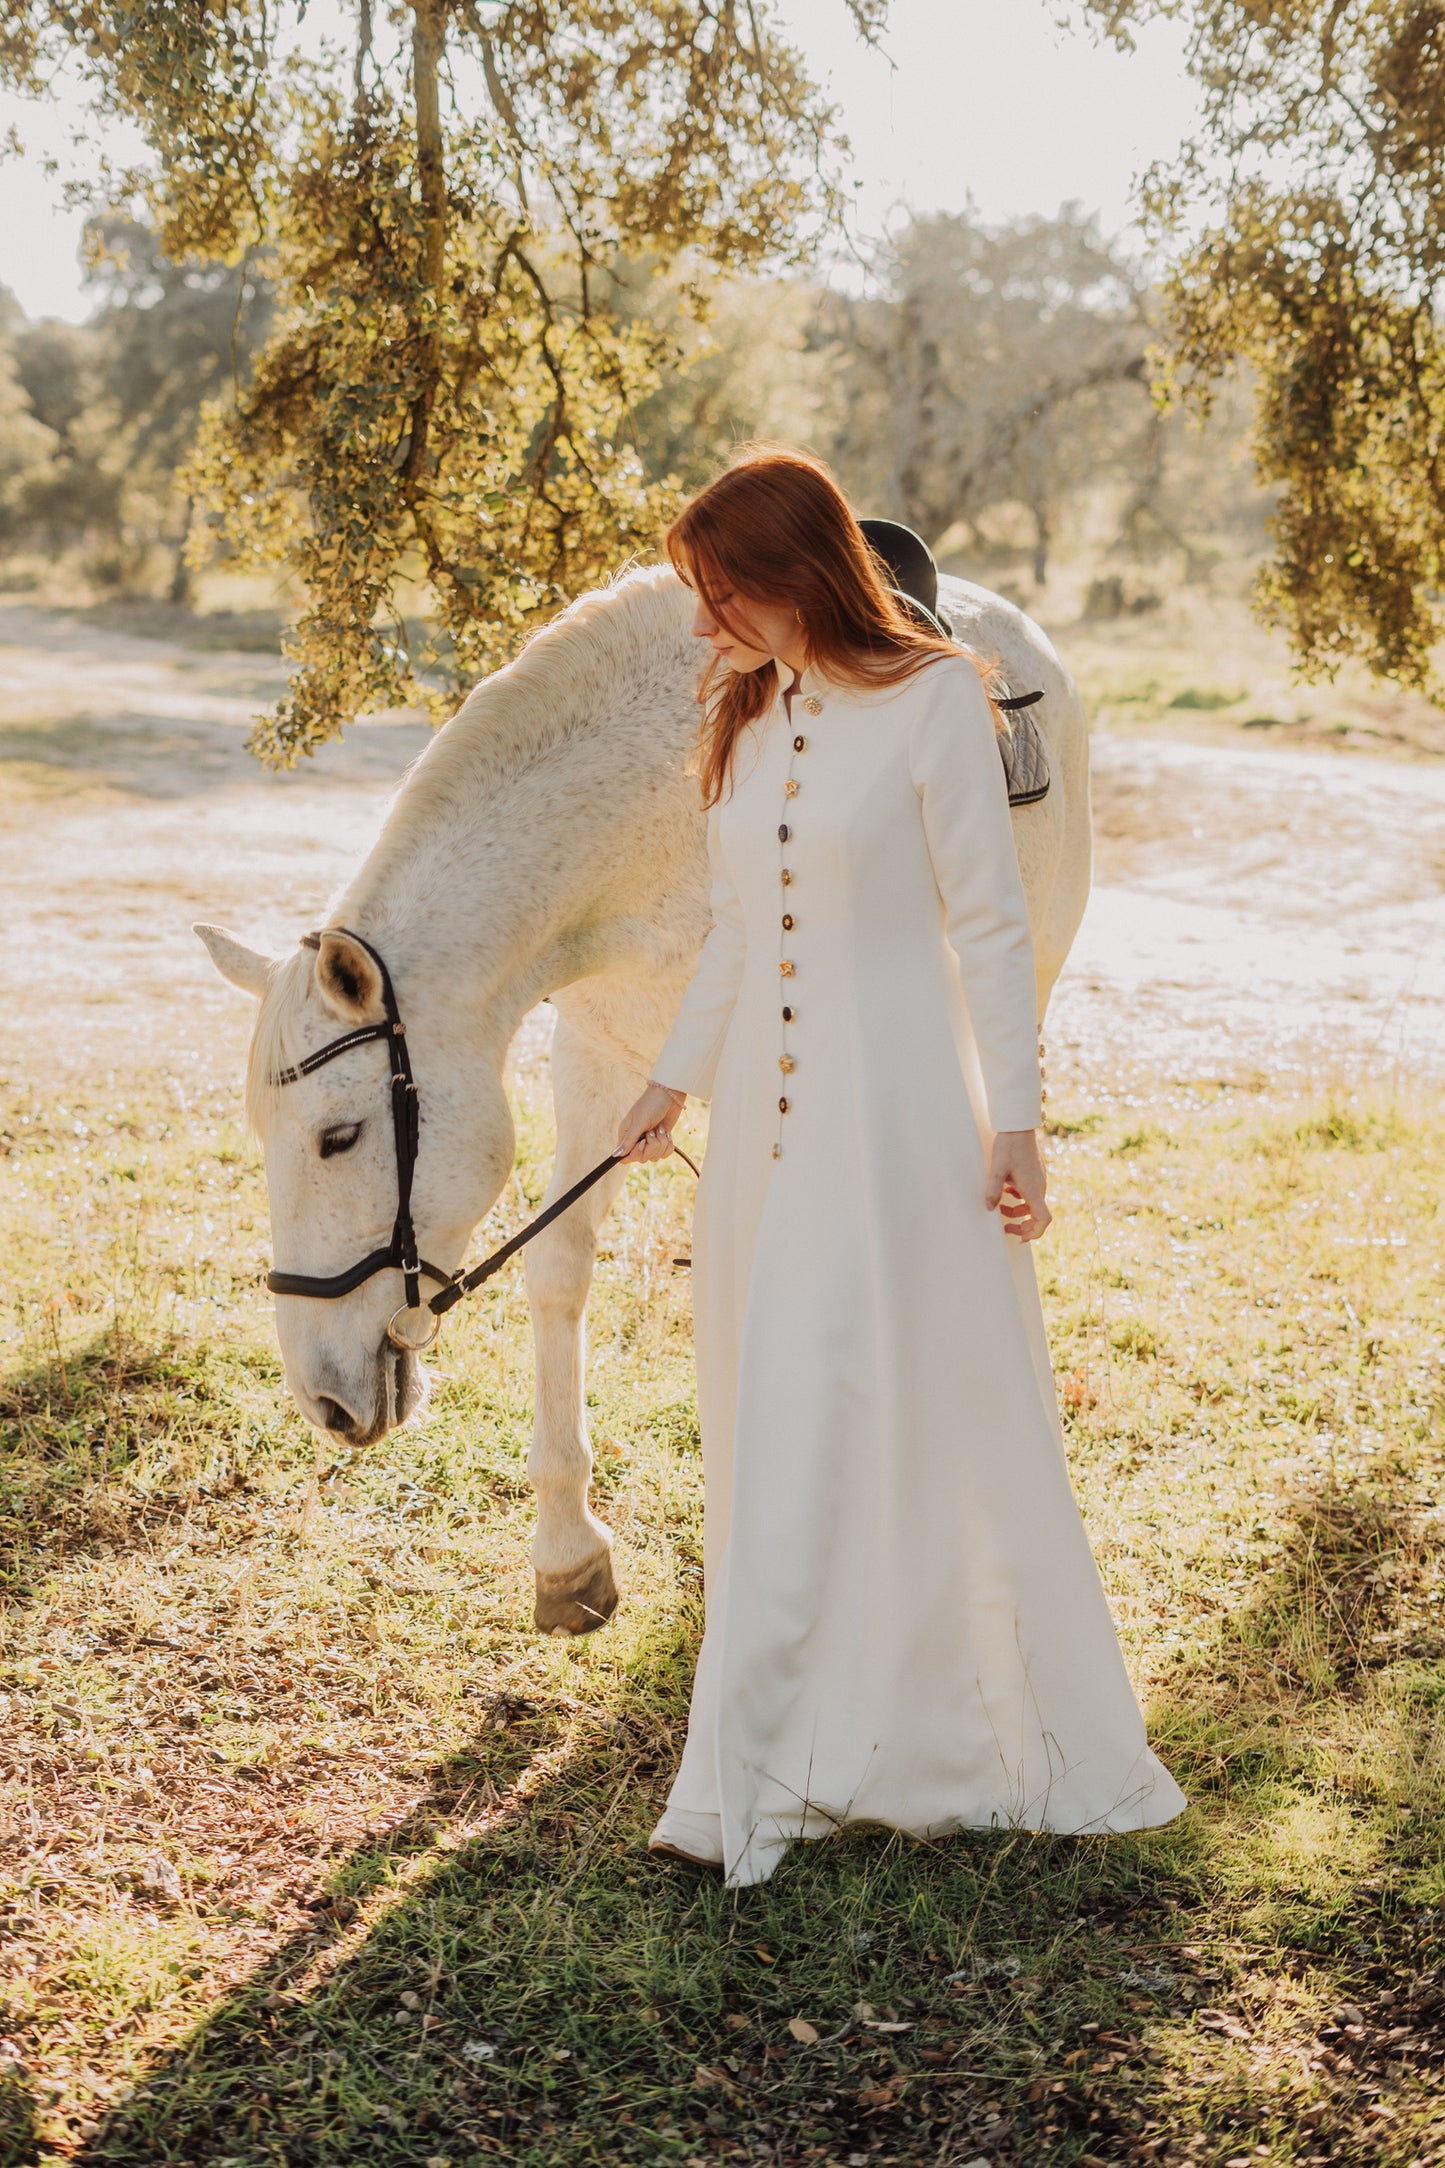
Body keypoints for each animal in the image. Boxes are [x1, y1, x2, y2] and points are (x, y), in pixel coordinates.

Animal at [198, 559, 1091, 1630]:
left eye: (338, 1137)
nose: (322, 1398)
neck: (643, 829)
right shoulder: (601, 1055)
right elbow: (561, 1271)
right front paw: (567, 1554)